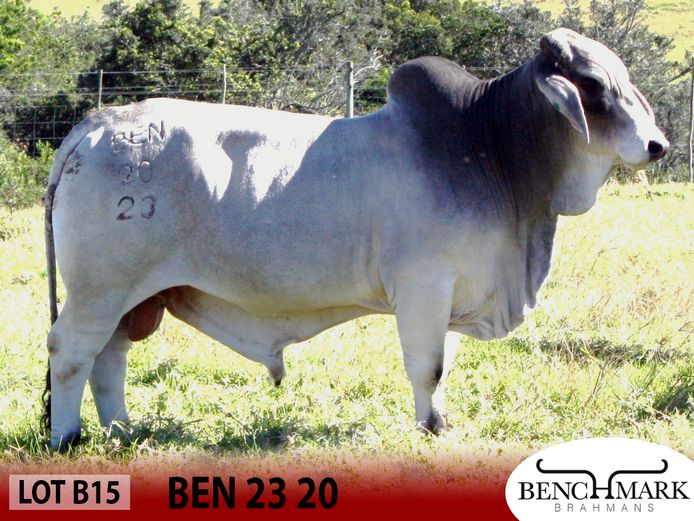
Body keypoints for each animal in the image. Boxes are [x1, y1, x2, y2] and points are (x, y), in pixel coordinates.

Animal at [44, 28, 668, 449]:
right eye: (592, 84)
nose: (658, 145)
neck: (488, 145)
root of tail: (96, 125)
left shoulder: (453, 291)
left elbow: (445, 365)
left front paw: (441, 421)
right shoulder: (423, 285)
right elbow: (427, 367)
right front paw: (431, 429)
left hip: (130, 298)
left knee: (110, 357)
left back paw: (122, 430)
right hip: (100, 290)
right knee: (71, 353)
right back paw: (68, 438)